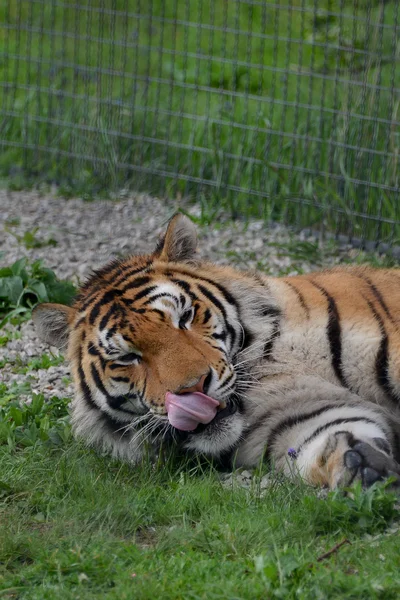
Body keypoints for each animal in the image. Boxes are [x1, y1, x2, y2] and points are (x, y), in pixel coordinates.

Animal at [32, 213, 400, 490]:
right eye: (128, 357)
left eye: (184, 318)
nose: (192, 389)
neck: (260, 363)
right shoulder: (299, 412)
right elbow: (330, 434)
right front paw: (363, 464)